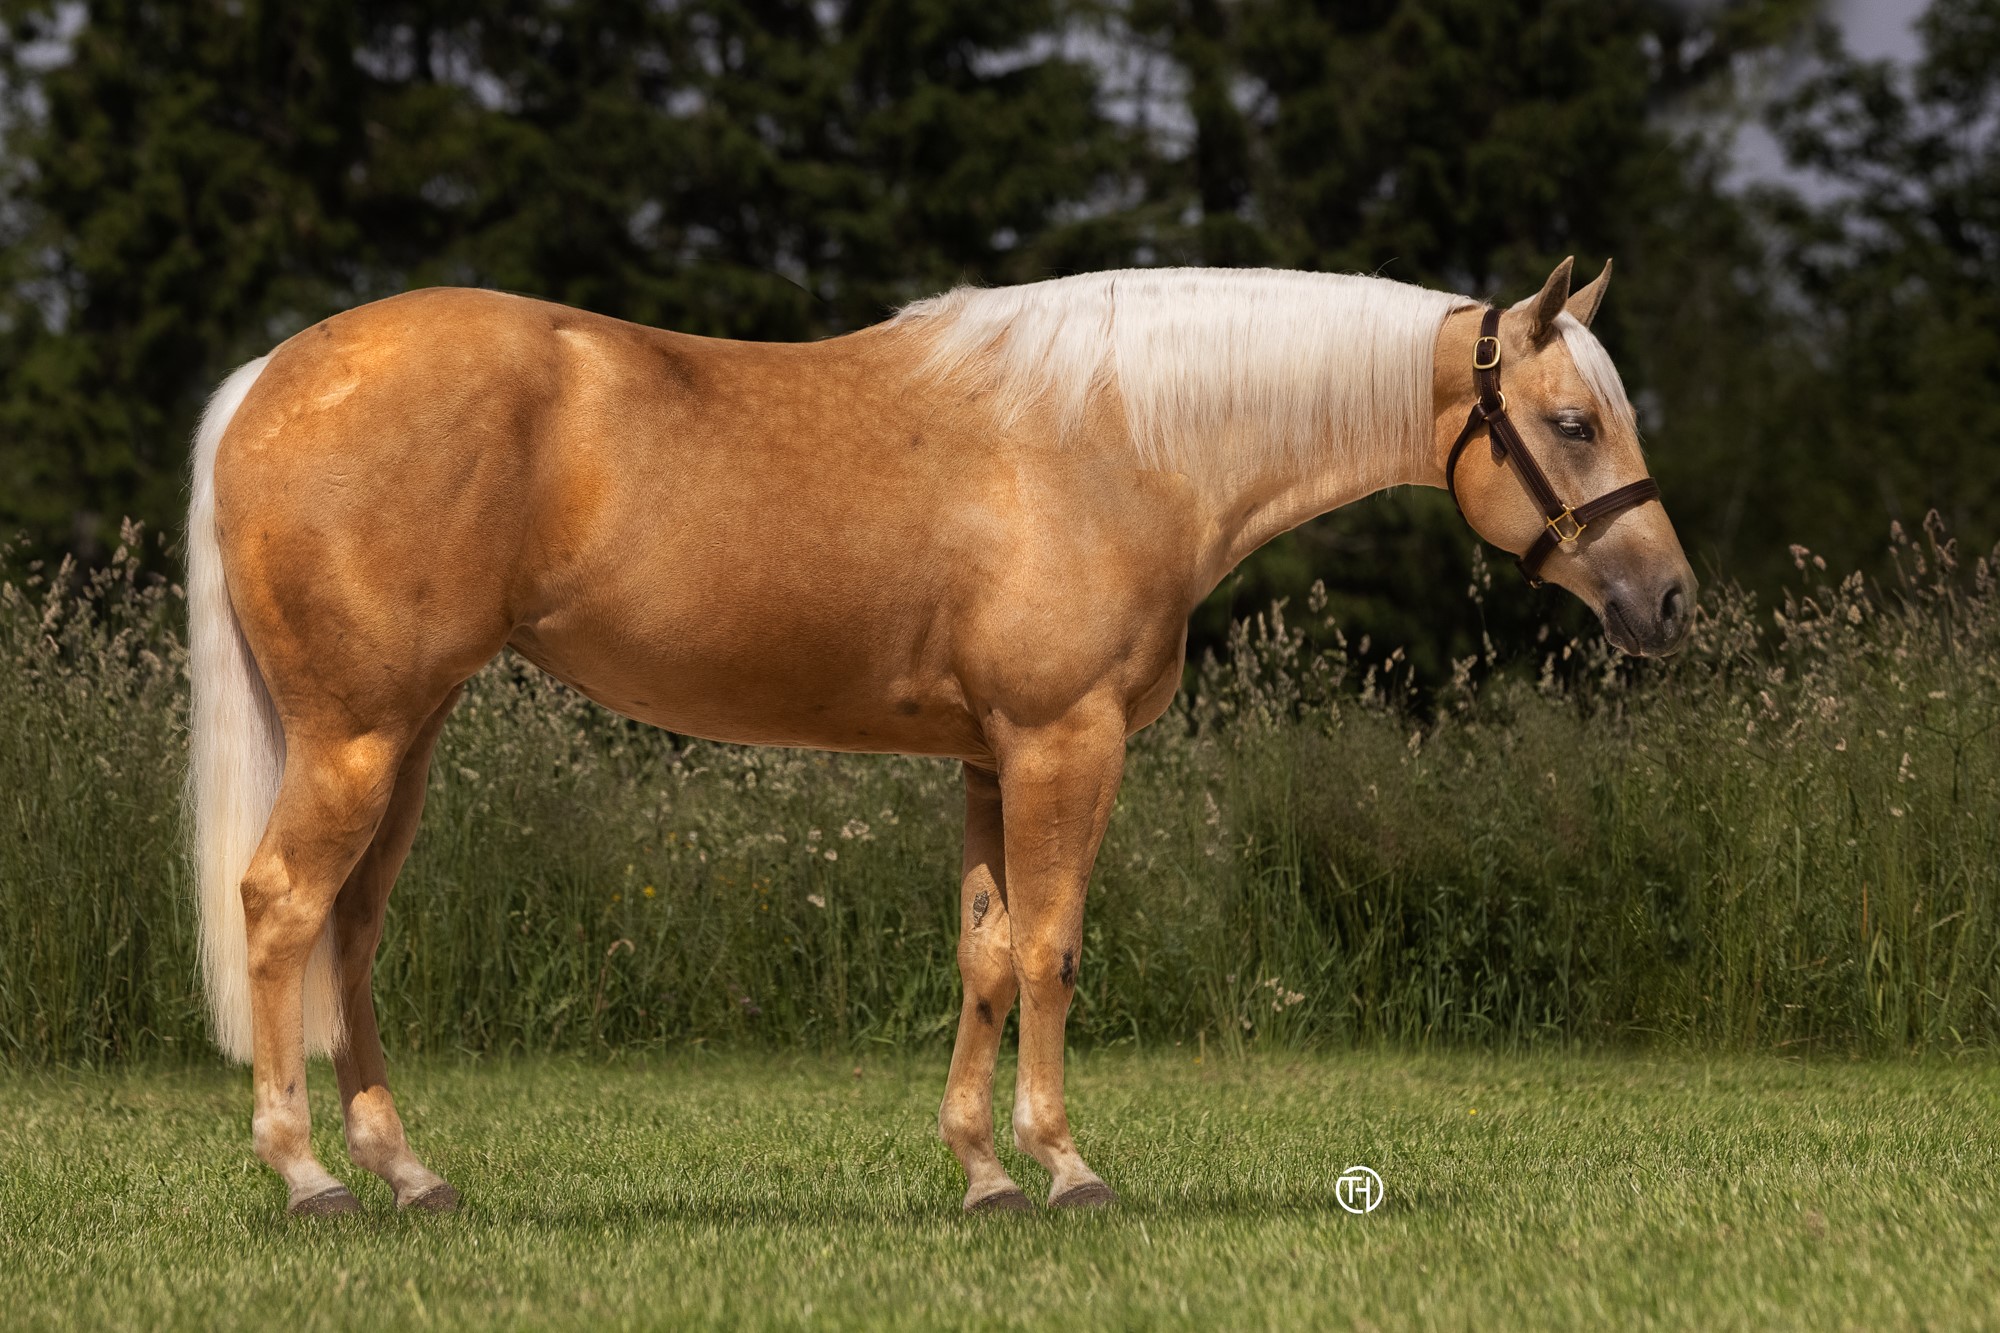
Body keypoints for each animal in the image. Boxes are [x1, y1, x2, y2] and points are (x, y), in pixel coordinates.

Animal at [186, 256, 1694, 1216]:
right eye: (1571, 420)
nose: (1668, 600)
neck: (1121, 439)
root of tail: (269, 376)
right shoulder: (1063, 744)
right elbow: (1052, 950)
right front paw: (1067, 1169)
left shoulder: (988, 756)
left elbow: (983, 955)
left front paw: (980, 1175)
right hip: (358, 735)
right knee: (280, 905)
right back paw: (307, 1177)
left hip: (404, 738)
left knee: (351, 929)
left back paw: (406, 1174)